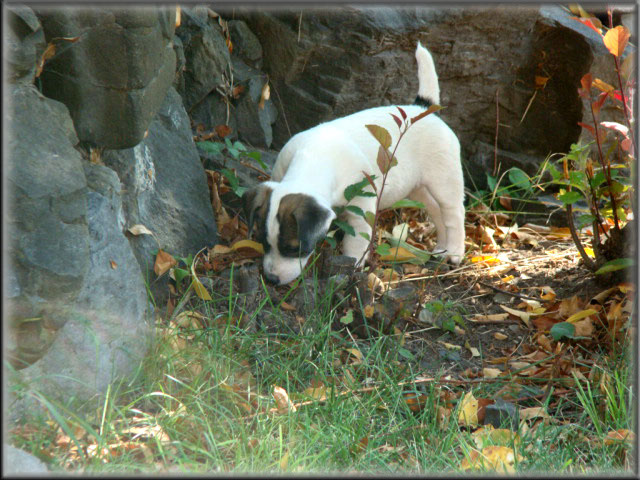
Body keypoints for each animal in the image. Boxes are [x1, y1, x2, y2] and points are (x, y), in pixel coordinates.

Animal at [242, 42, 462, 284]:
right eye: (263, 242)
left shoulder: (361, 207)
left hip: (444, 182)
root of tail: (424, 109)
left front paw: (351, 267)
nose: (271, 280)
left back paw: (455, 252)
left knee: (454, 213)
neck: (314, 161)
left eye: (293, 249)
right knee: (436, 211)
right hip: (417, 187)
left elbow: (355, 242)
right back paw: (442, 247)